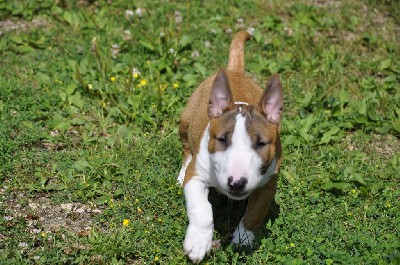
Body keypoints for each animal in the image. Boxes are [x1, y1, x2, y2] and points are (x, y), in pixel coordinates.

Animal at [177, 31, 282, 262]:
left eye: (261, 143)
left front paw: (244, 239)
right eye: (222, 139)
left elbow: (255, 214)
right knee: (186, 148)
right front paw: (198, 243)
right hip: (185, 120)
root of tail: (234, 71)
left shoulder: (268, 183)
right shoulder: (196, 176)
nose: (236, 183)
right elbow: (202, 210)